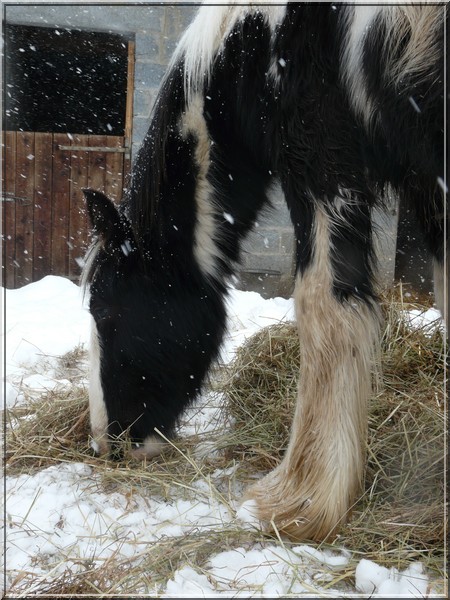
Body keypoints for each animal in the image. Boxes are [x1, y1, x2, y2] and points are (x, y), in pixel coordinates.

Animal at [81, 2, 446, 540]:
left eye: (105, 311)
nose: (107, 444)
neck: (259, 39)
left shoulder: (322, 161)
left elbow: (325, 310)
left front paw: (302, 501)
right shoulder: (429, 185)